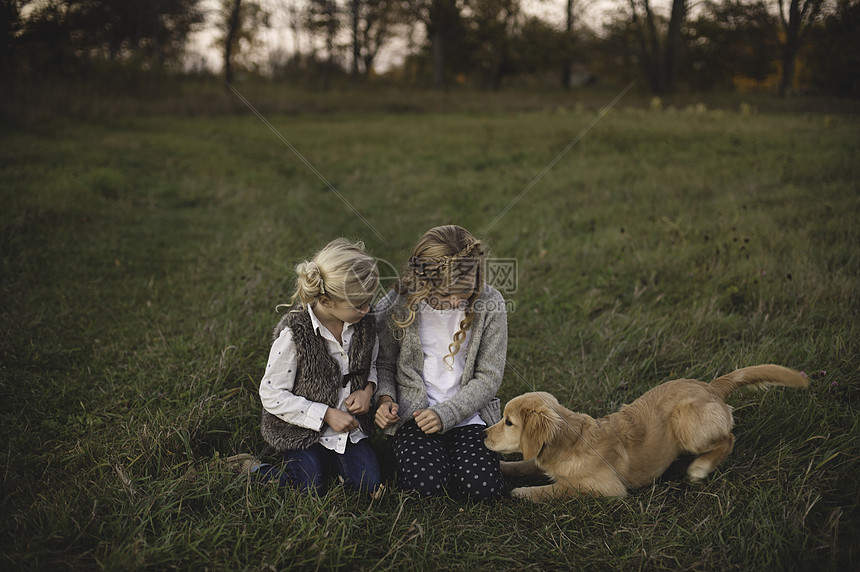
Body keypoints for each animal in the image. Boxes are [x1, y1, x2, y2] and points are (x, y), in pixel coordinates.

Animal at [488, 366, 808, 500]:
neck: (571, 441)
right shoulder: (540, 459)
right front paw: (503, 468)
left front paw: (523, 492)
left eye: (508, 422)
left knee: (728, 439)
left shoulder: (608, 489)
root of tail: (710, 386)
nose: (482, 436)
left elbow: (559, 488)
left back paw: (700, 467)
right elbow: (525, 463)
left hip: (685, 420)